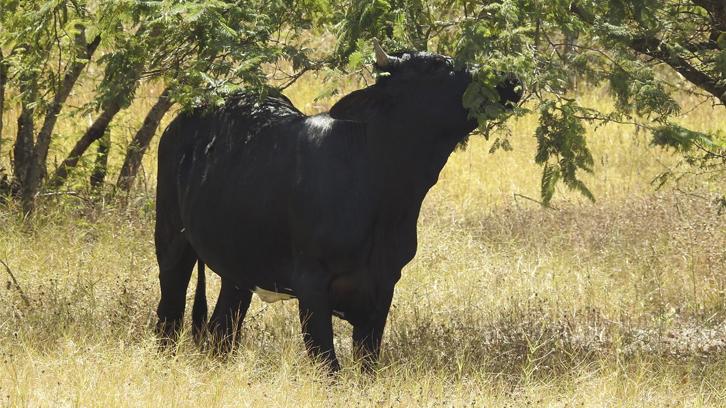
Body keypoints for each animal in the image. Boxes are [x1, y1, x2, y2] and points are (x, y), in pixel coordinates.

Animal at [158, 40, 524, 370]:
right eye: (434, 66)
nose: (510, 79)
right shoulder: (311, 284)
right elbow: (328, 365)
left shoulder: (383, 284)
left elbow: (367, 365)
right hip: (171, 239)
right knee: (170, 313)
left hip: (238, 262)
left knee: (223, 327)